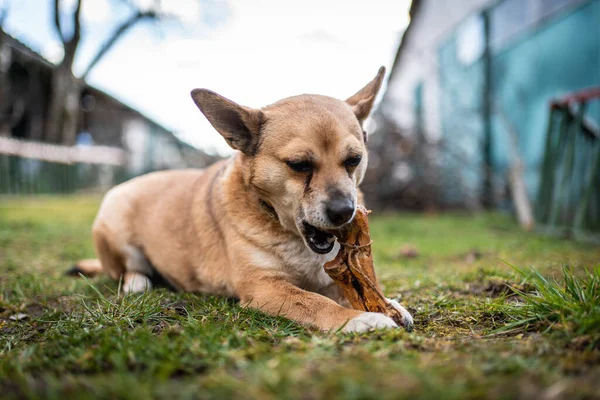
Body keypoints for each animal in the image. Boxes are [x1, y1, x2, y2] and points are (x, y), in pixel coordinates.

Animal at [72, 67, 412, 332]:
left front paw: (389, 304)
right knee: (127, 270)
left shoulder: (334, 276)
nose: (344, 212)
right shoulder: (265, 288)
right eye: (299, 165)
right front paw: (360, 319)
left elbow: (357, 288)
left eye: (354, 160)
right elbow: (316, 302)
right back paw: (138, 283)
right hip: (115, 223)